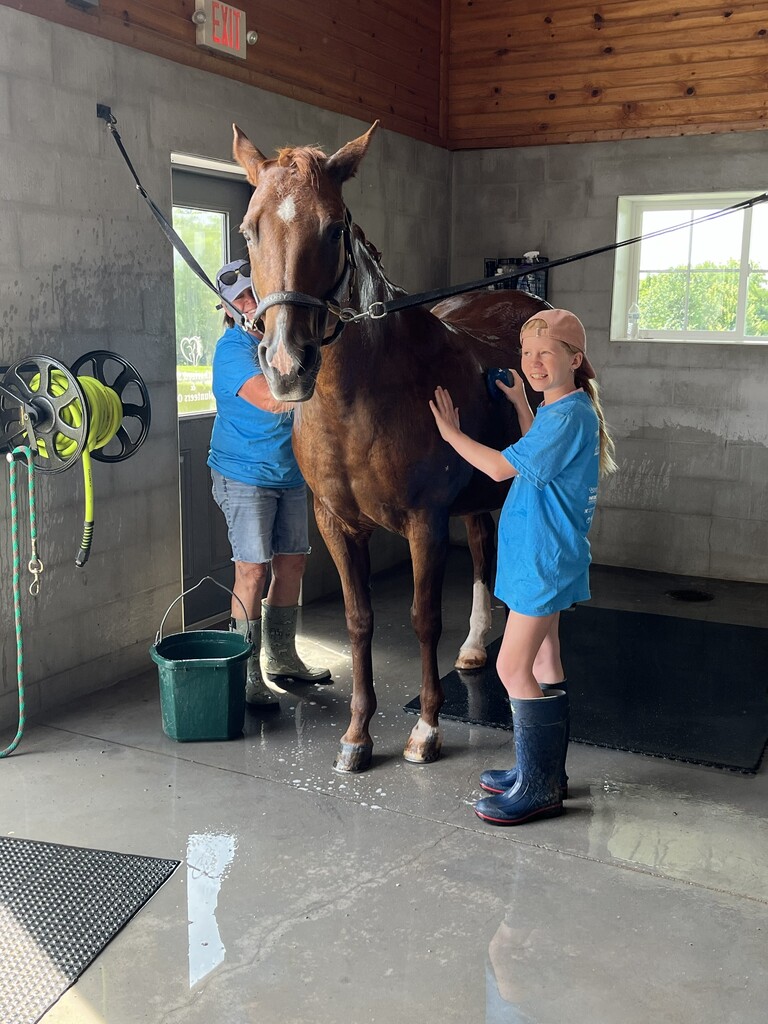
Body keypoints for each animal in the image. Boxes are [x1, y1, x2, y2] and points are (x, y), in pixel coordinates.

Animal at [231, 121, 549, 772]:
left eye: (334, 226)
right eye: (250, 227)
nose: (287, 364)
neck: (362, 395)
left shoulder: (424, 522)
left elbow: (423, 618)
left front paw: (425, 730)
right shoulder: (336, 524)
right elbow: (359, 621)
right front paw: (357, 735)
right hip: (479, 494)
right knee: (483, 550)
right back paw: (475, 646)